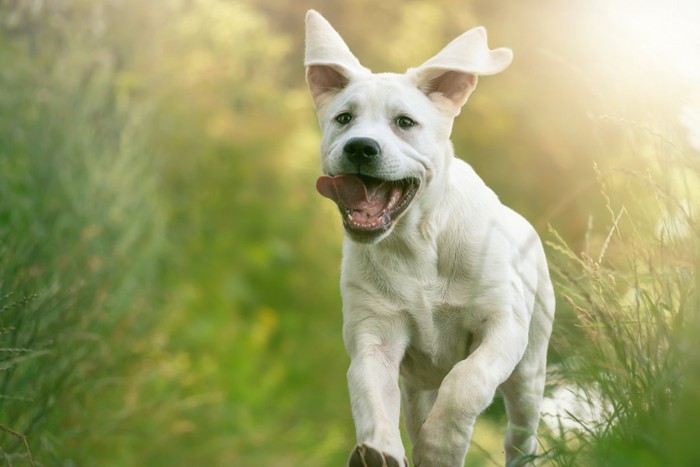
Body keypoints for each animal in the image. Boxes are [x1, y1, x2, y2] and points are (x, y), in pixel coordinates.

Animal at [304, 11, 556, 467]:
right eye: (344, 118)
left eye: (405, 122)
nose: (360, 148)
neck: (417, 244)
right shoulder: (375, 336)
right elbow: (370, 396)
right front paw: (379, 452)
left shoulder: (502, 326)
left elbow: (466, 381)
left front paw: (441, 447)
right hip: (418, 386)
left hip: (530, 368)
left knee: (520, 434)